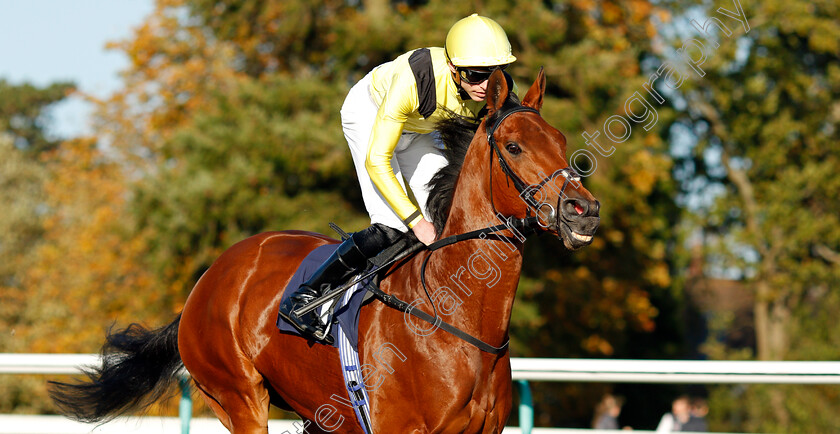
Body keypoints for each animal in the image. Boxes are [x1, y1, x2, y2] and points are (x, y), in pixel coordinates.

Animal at [49, 69, 600, 432]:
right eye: (514, 147)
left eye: (559, 140)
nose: (583, 209)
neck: (458, 318)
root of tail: (209, 279)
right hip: (239, 397)